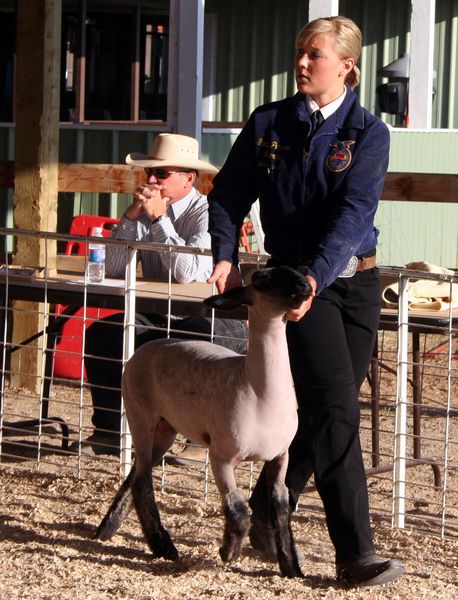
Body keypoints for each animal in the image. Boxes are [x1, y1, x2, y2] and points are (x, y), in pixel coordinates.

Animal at [95, 264, 314, 580]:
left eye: (298, 271)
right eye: (262, 280)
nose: (305, 288)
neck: (258, 390)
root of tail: (147, 346)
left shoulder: (279, 456)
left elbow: (281, 508)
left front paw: (291, 568)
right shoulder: (221, 457)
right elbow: (237, 509)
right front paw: (228, 552)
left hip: (166, 427)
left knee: (135, 475)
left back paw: (108, 530)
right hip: (140, 414)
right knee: (143, 480)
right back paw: (164, 547)